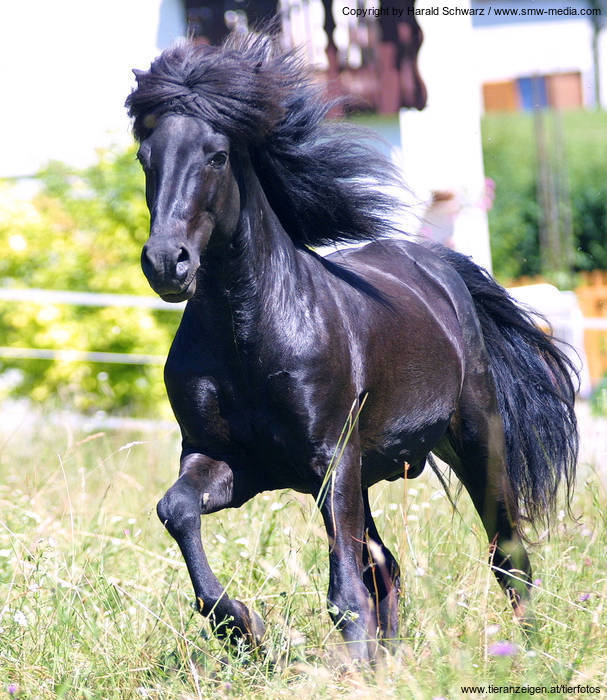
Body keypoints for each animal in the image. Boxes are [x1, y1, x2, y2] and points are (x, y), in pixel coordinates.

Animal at [126, 30, 576, 660]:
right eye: (146, 158)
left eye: (217, 155)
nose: (167, 262)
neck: (249, 338)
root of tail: (439, 267)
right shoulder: (231, 462)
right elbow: (177, 509)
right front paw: (239, 625)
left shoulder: (329, 459)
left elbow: (343, 587)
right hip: (364, 476)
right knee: (386, 567)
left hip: (474, 439)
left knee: (507, 555)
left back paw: (530, 654)